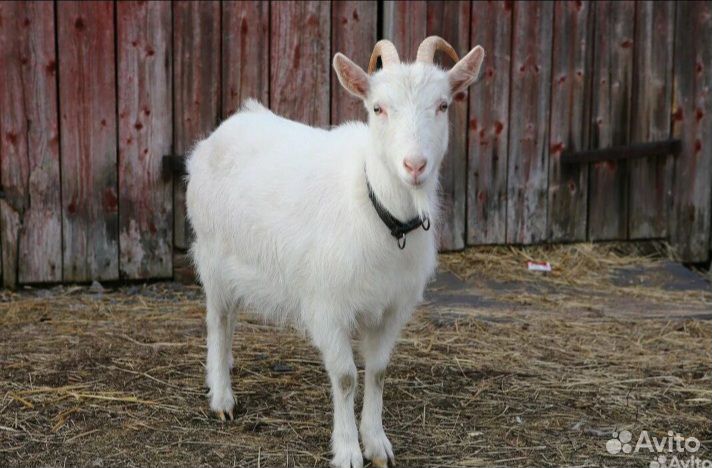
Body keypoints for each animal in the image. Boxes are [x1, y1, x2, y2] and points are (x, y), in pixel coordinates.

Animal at [186, 36, 485, 468]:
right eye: (378, 108)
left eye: (443, 105)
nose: (415, 165)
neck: (377, 210)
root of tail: (236, 120)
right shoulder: (326, 306)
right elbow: (345, 377)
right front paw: (347, 451)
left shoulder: (392, 307)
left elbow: (377, 372)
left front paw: (377, 444)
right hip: (211, 254)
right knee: (218, 322)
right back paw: (222, 397)